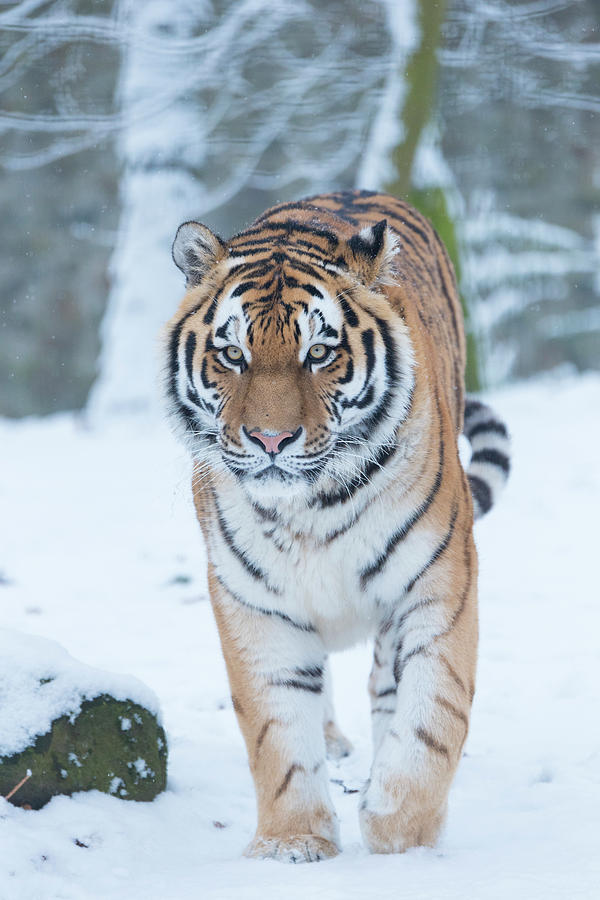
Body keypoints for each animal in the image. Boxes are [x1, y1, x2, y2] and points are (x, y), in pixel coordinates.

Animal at [162, 192, 508, 864]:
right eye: (233, 355)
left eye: (318, 353)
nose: (270, 440)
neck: (311, 508)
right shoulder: (254, 603)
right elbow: (276, 729)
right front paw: (292, 841)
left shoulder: (438, 582)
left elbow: (432, 715)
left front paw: (401, 832)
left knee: (386, 690)